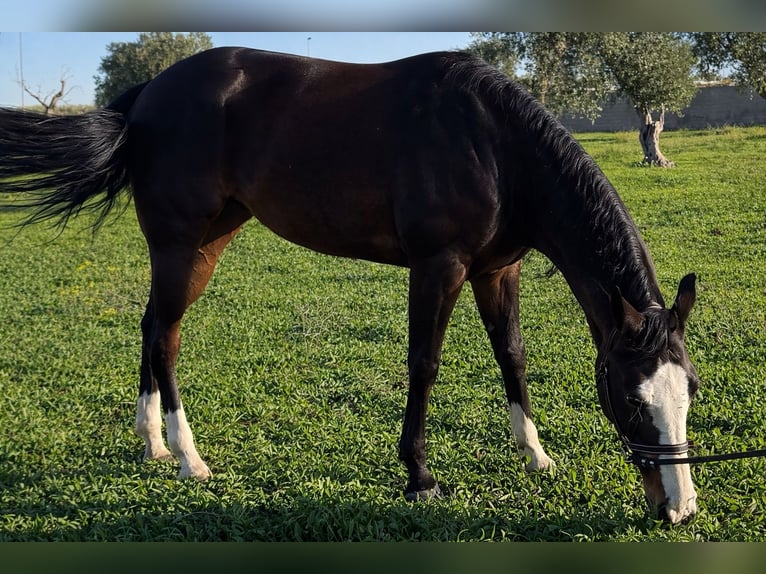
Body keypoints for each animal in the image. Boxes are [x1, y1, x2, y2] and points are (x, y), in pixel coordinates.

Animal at [0, 47, 700, 524]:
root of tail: (148, 93)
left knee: (151, 327)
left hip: (206, 241)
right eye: (633, 400)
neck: (495, 145)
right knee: (166, 337)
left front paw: (535, 454)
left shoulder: (499, 269)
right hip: (181, 245)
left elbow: (512, 356)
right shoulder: (438, 266)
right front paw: (419, 475)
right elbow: (425, 364)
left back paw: (151, 444)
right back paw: (188, 457)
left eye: (689, 391)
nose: (680, 507)